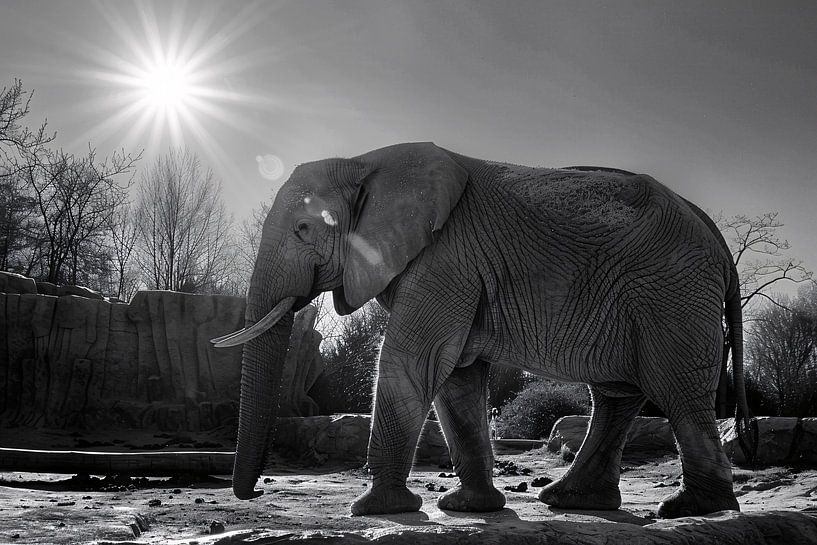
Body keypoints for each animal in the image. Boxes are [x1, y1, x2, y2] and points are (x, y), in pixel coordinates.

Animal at [212, 142, 753, 519]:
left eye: (304, 229)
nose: (253, 492)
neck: (364, 162)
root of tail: (715, 235)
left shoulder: (446, 257)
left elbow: (414, 359)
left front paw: (375, 509)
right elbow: (457, 377)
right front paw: (467, 508)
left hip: (673, 294)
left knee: (677, 390)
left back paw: (691, 509)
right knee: (618, 395)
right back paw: (572, 500)